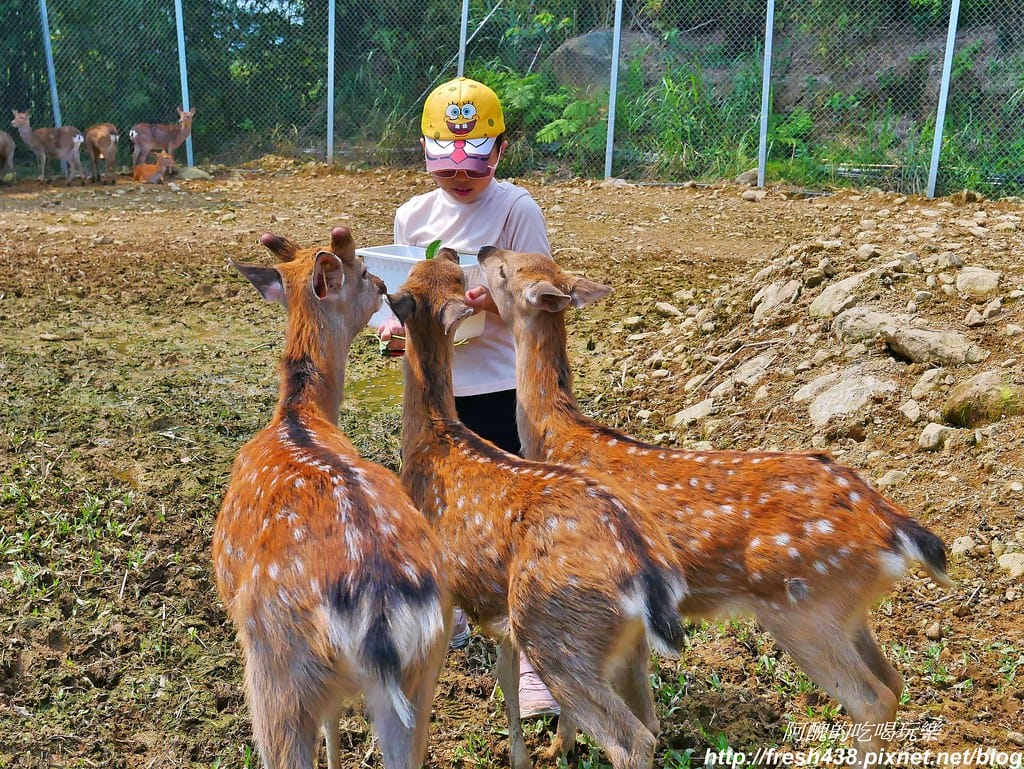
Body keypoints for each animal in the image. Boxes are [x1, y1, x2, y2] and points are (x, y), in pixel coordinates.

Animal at [213, 227, 451, 769]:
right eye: (362, 271)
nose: (383, 282)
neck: (298, 415)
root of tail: (379, 606)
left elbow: (331, 723)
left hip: (274, 675)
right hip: (422, 671)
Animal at [386, 250, 688, 769]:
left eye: (412, 277)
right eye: (429, 270)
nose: (452, 250)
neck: (433, 438)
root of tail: (647, 571)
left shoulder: (440, 584)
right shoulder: (501, 620)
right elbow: (506, 680)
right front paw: (520, 755)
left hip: (552, 626)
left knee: (633, 739)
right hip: (614, 641)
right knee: (651, 720)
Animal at [477, 247, 954, 765]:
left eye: (504, 269)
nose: (482, 250)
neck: (559, 438)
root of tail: (892, 527)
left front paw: (557, 748)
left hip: (804, 607)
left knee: (872, 698)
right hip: (849, 610)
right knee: (895, 681)